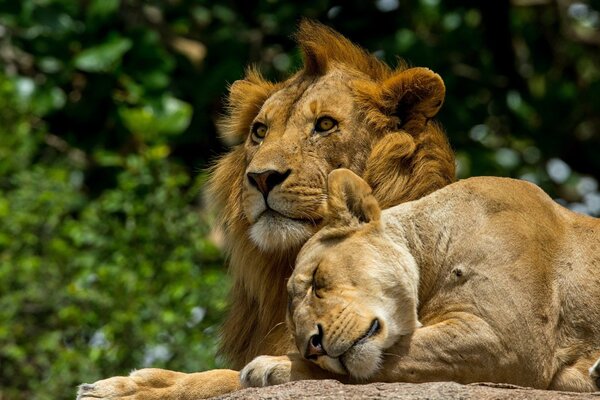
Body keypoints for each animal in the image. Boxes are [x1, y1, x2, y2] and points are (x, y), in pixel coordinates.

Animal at [243, 170, 600, 392]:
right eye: (293, 327)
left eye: (317, 280)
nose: (312, 347)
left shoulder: (510, 340)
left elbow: (390, 358)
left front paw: (269, 367)